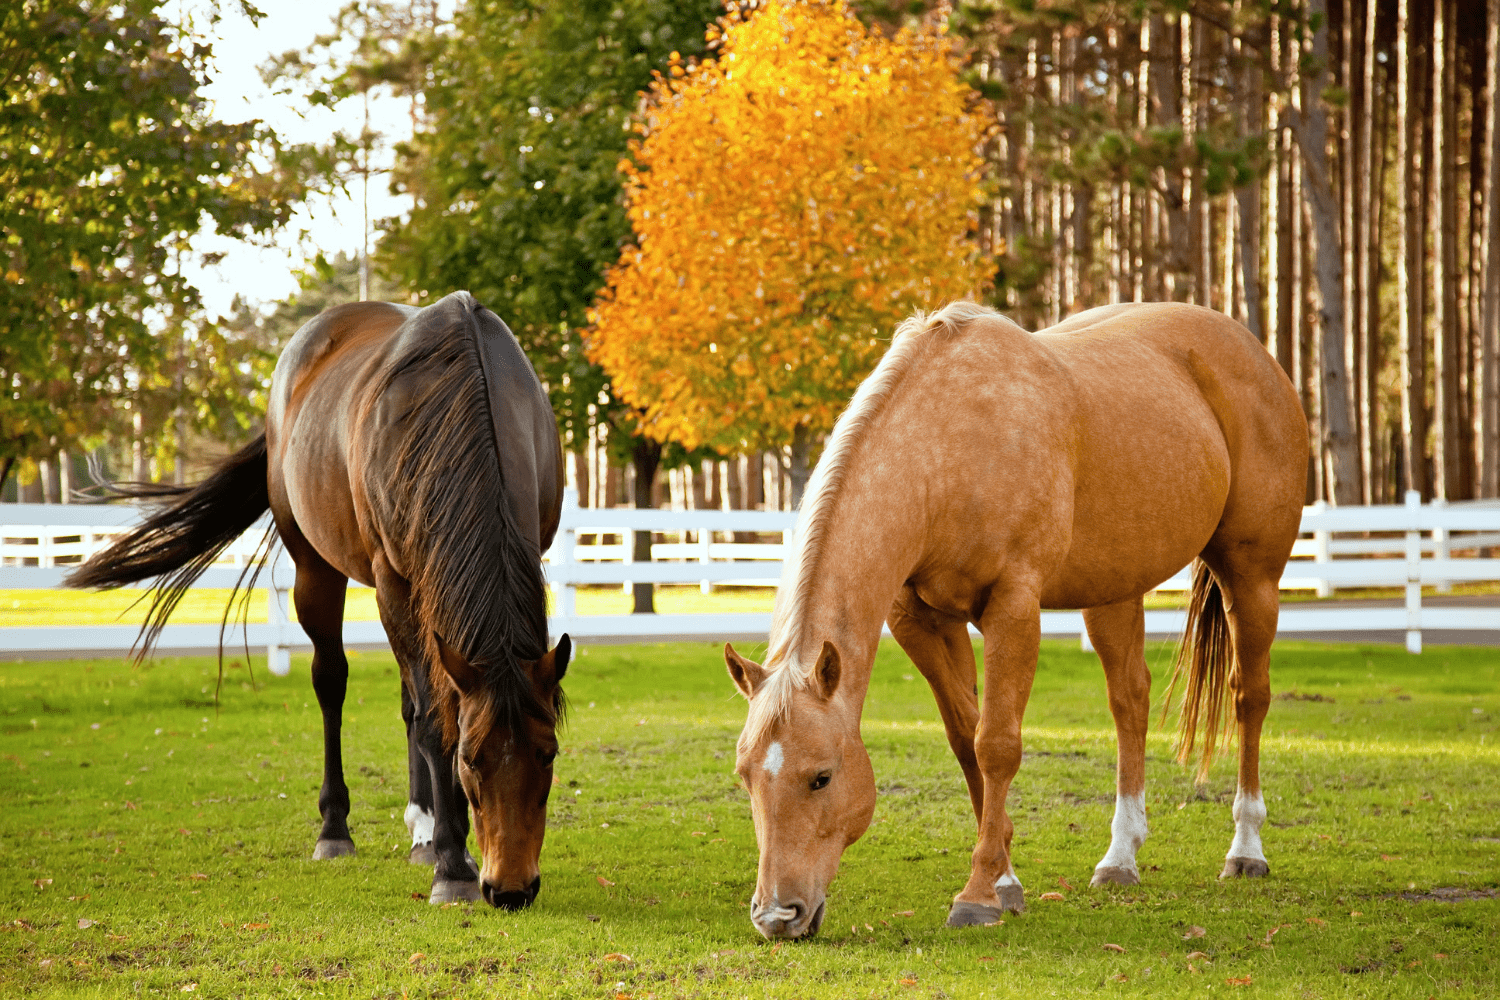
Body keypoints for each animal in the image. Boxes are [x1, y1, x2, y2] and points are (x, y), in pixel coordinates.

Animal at [67, 292, 570, 910]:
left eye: (548, 753)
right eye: (471, 759)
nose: (512, 889)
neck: (464, 393)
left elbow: (431, 707)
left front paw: (442, 845)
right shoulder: (394, 578)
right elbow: (436, 719)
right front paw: (453, 866)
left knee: (410, 696)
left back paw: (422, 829)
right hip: (319, 568)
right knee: (334, 682)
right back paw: (338, 830)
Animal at [723, 301, 1308, 937]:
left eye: (822, 777)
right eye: (745, 774)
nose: (777, 915)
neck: (945, 449)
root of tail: (1254, 352)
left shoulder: (1014, 607)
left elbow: (997, 744)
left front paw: (978, 894)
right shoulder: (919, 619)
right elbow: (966, 739)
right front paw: (1005, 879)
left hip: (1251, 577)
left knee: (1249, 697)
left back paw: (1246, 849)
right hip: (1113, 591)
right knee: (1130, 701)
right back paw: (1120, 858)